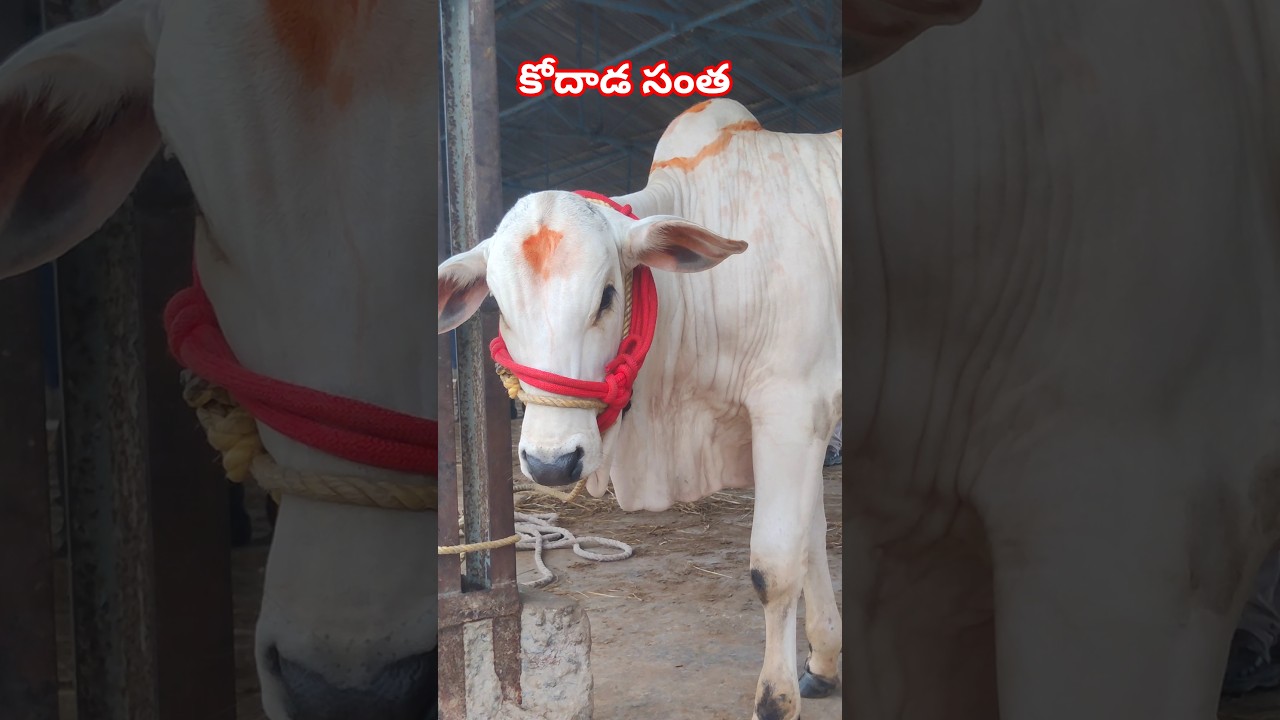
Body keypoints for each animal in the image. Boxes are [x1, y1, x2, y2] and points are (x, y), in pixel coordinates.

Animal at [437, 98, 843, 720]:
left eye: (607, 295)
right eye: (499, 305)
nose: (552, 463)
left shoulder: (793, 410)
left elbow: (774, 567)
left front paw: (776, 700)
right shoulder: (810, 422)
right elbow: (812, 540)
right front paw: (822, 662)